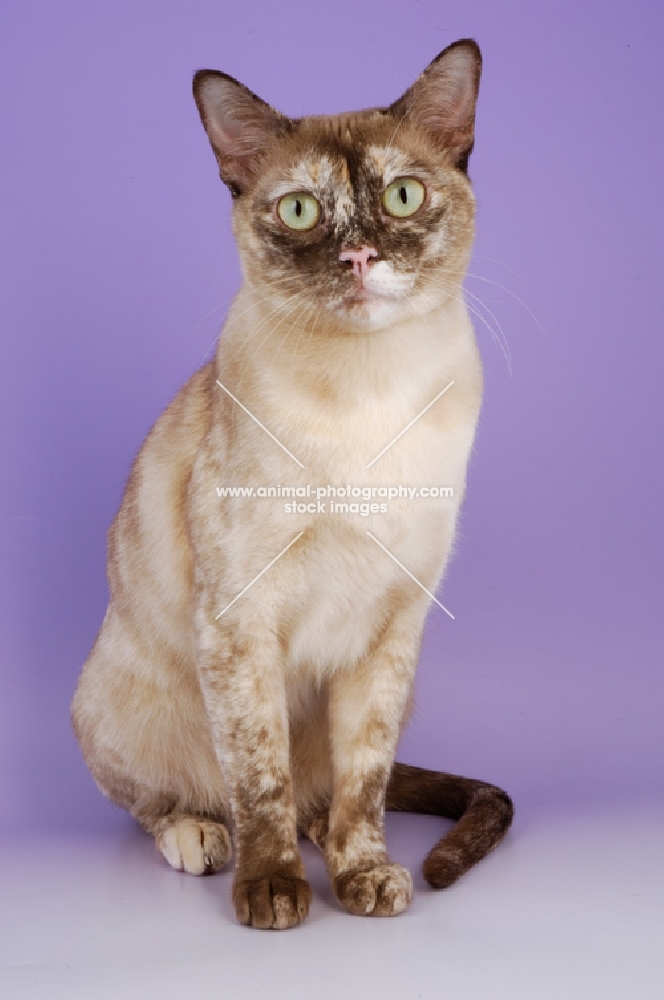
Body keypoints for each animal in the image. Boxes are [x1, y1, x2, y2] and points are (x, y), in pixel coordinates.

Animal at [71, 39, 512, 928]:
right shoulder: (241, 620)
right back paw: (202, 838)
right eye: (303, 212)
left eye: (403, 197)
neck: (369, 397)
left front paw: (363, 874)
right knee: (175, 801)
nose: (358, 257)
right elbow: (257, 773)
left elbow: (364, 780)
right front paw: (272, 890)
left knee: (323, 791)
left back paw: (324, 844)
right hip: (112, 698)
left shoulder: (392, 630)